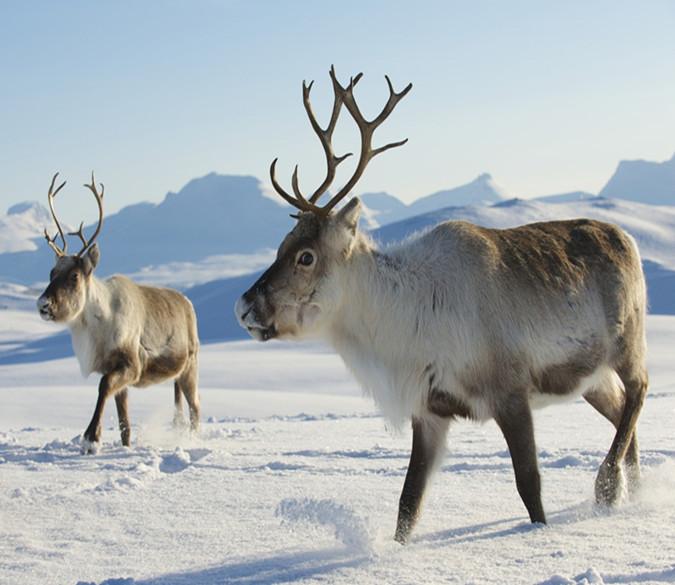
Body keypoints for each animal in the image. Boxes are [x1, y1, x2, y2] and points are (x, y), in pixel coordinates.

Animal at [37, 173, 200, 454]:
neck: (98, 327)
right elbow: (125, 422)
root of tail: (188, 303)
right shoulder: (113, 370)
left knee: (196, 409)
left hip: (190, 366)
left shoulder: (131, 365)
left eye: (75, 275)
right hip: (180, 374)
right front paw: (123, 446)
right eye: (51, 273)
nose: (43, 304)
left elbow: (103, 388)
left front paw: (91, 439)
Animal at [235, 67, 649, 543]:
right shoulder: (430, 410)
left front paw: (538, 536)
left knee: (638, 392)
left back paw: (608, 485)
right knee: (620, 412)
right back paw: (633, 491)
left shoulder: (509, 391)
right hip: (589, 377)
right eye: (281, 245)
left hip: (627, 341)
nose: (243, 306)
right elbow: (408, 503)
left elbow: (529, 486)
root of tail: (626, 237)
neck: (402, 323)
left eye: (306, 256)